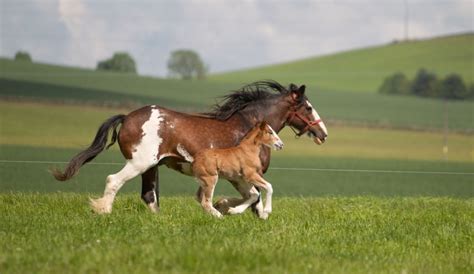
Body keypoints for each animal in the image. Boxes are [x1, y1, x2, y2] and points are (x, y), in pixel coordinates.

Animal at [51, 80, 326, 215]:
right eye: (308, 107)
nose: (323, 133)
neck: (248, 126)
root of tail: (127, 117)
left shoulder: (237, 176)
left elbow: (252, 198)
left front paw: (224, 206)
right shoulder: (246, 174)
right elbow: (256, 198)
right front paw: (228, 209)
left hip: (151, 167)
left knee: (149, 196)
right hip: (139, 163)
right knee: (113, 181)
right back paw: (104, 212)